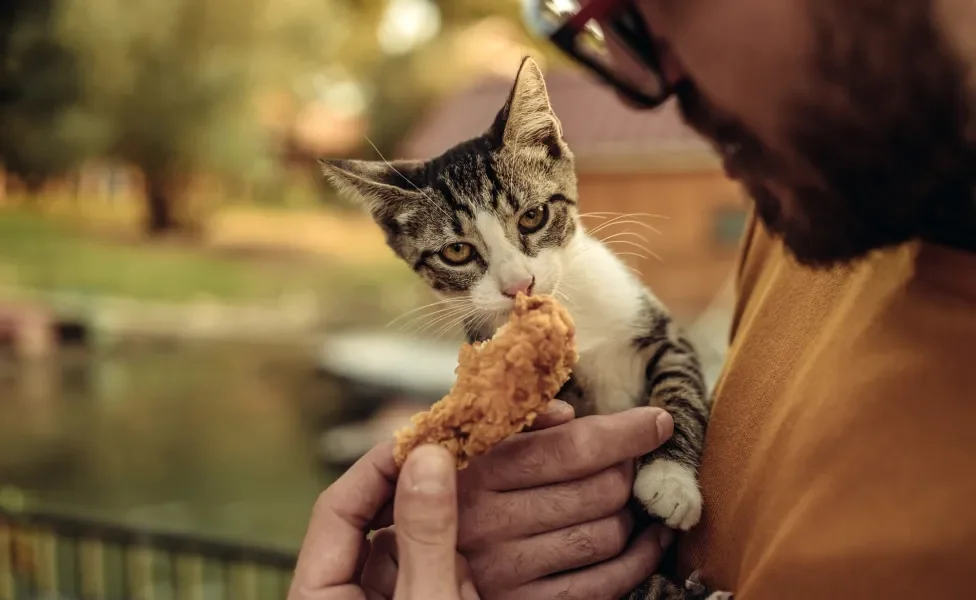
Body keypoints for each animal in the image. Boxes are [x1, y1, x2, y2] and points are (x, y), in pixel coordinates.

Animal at [320, 56, 724, 600]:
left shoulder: (657, 326)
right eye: (457, 251)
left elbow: (680, 385)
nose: (519, 284)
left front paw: (670, 481)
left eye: (533, 216)